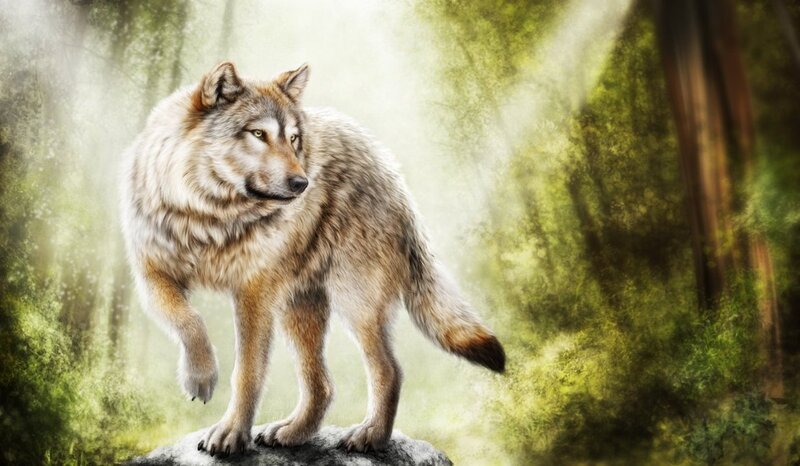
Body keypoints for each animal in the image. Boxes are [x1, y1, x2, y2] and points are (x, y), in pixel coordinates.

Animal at [120, 61, 505, 456]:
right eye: (258, 133)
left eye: (293, 139)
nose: (302, 183)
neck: (209, 218)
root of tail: (390, 173)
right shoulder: (152, 277)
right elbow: (189, 320)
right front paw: (199, 378)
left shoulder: (253, 295)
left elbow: (247, 373)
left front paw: (230, 433)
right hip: (300, 309)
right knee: (322, 385)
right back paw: (292, 432)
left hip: (354, 305)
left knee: (389, 370)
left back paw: (371, 436)